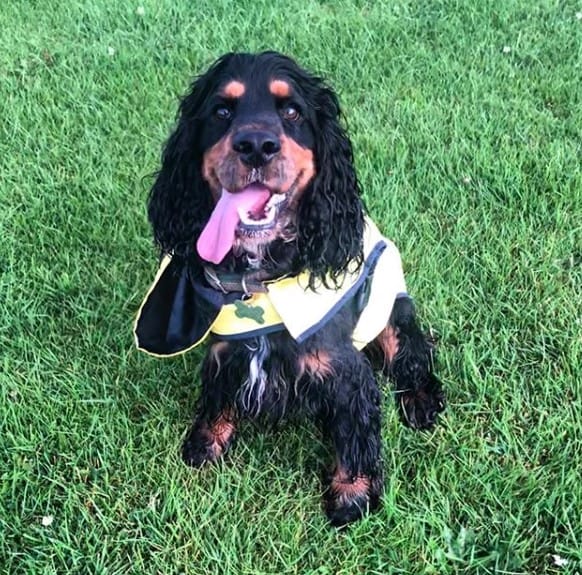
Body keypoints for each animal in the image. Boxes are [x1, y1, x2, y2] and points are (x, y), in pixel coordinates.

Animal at [134, 51, 445, 526]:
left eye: (293, 111)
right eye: (221, 111)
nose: (255, 146)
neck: (263, 276)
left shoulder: (345, 371)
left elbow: (355, 431)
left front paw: (352, 496)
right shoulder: (226, 353)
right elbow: (217, 398)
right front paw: (206, 443)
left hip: (395, 312)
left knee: (412, 355)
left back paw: (422, 402)